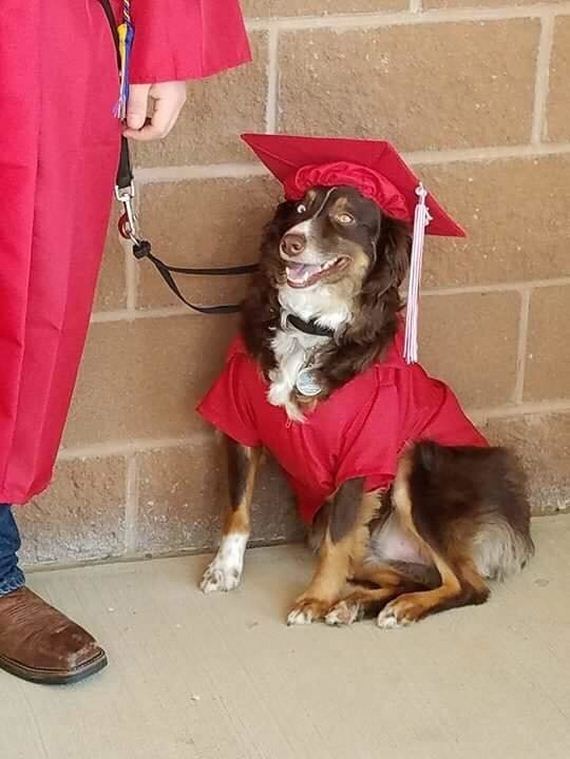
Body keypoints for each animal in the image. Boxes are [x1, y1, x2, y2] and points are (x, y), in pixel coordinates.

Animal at [196, 186, 532, 628]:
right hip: (356, 538)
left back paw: (397, 607)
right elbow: (237, 509)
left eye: (345, 219)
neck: (309, 328)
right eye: (301, 208)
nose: (291, 242)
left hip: (418, 464)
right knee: (413, 577)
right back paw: (355, 603)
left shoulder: (363, 451)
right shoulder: (240, 423)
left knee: (467, 585)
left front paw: (315, 599)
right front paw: (225, 569)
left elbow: (337, 541)